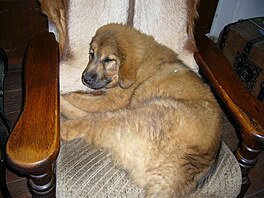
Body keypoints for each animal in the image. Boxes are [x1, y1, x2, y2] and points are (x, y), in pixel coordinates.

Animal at [60, 24, 222, 197]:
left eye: (108, 60)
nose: (85, 78)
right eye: (91, 54)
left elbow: (79, 98)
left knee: (89, 121)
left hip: (135, 113)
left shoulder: (113, 101)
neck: (141, 63)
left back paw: (62, 115)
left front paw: (67, 94)